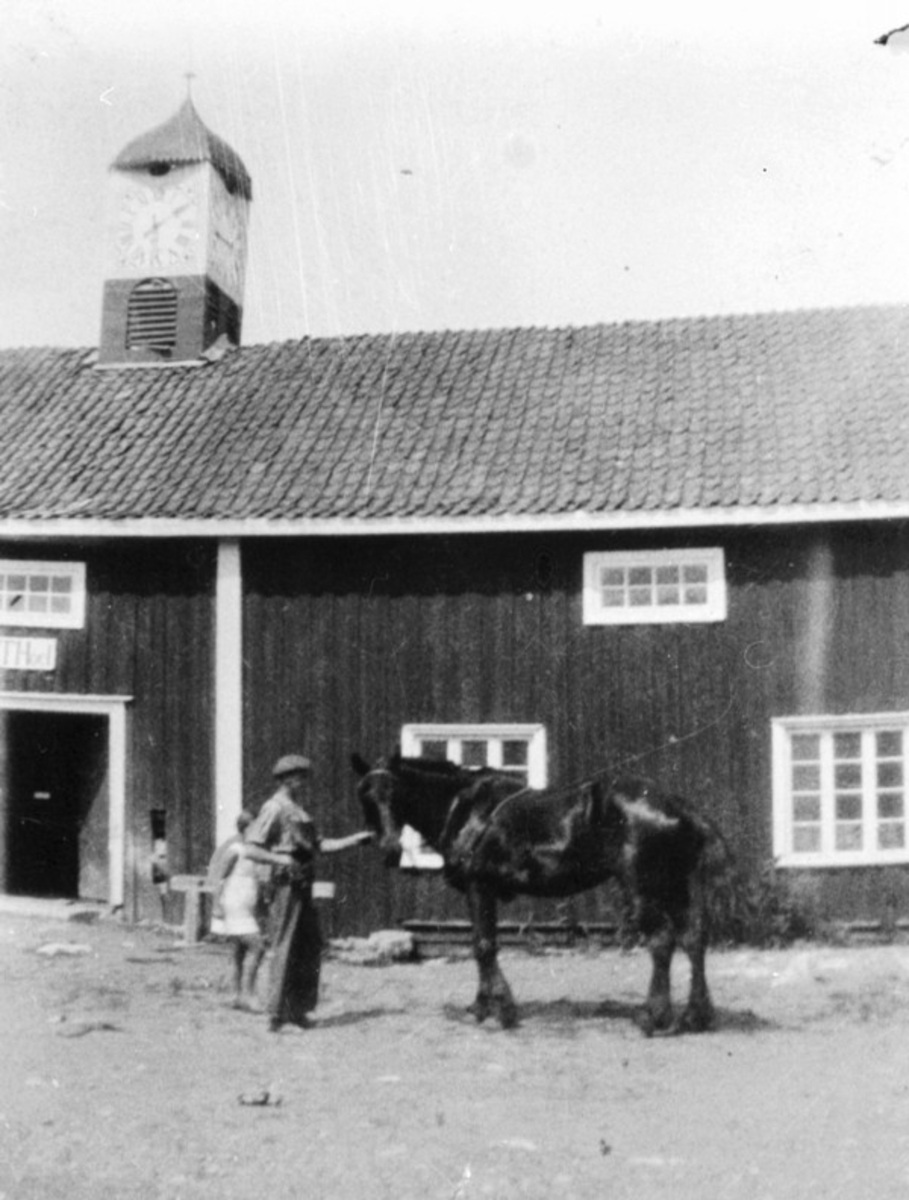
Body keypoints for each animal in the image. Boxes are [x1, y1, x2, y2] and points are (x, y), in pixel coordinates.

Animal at [350, 753, 733, 1036]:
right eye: (365, 794)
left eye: (394, 792)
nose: (389, 846)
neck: (466, 808)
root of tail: (678, 807)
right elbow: (483, 946)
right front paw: (483, 1005)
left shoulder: (479, 886)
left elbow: (483, 945)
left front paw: (498, 1009)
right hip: (676, 886)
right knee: (694, 939)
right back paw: (695, 1017)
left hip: (644, 888)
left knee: (662, 941)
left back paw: (653, 1017)